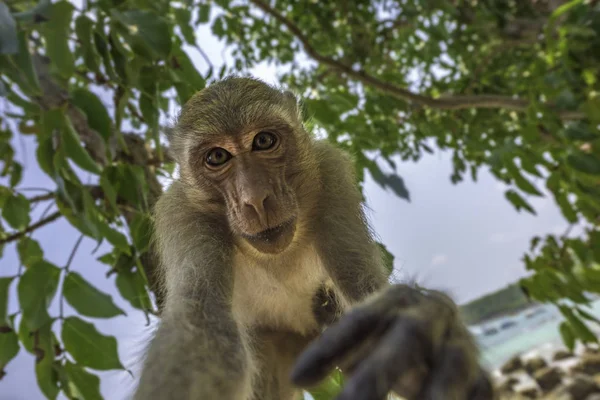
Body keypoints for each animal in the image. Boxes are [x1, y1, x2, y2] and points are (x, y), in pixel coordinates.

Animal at [134, 76, 494, 400]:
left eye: (263, 141)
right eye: (217, 157)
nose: (256, 199)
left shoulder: (330, 174)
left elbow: (362, 287)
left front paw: (424, 328)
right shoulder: (182, 215)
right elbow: (204, 323)